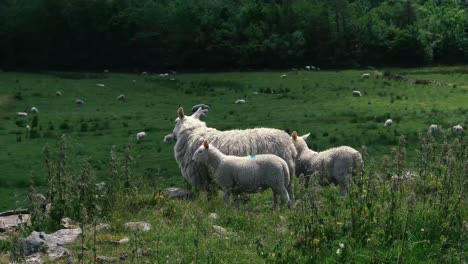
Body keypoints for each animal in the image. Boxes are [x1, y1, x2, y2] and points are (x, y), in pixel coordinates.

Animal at [170, 106, 298, 199]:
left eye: (176, 121)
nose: (173, 135)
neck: (193, 133)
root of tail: (289, 143)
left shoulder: (203, 175)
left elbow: (210, 195)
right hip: (288, 173)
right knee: (290, 190)